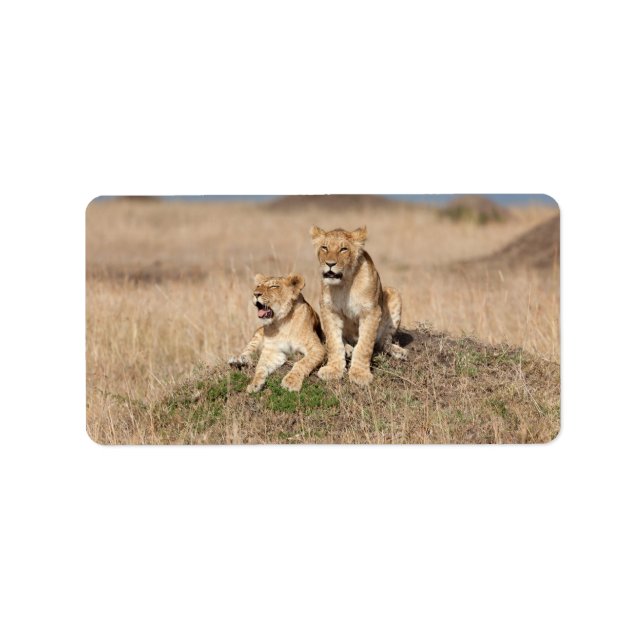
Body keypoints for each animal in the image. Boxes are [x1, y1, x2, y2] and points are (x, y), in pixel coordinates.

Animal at [310, 225, 407, 386]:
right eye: (324, 247)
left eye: (343, 249)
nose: (330, 264)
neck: (344, 283)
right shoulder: (329, 310)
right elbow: (333, 342)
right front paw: (333, 370)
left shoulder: (371, 312)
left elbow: (364, 345)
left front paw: (360, 374)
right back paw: (348, 348)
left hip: (394, 293)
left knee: (384, 341)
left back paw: (399, 352)